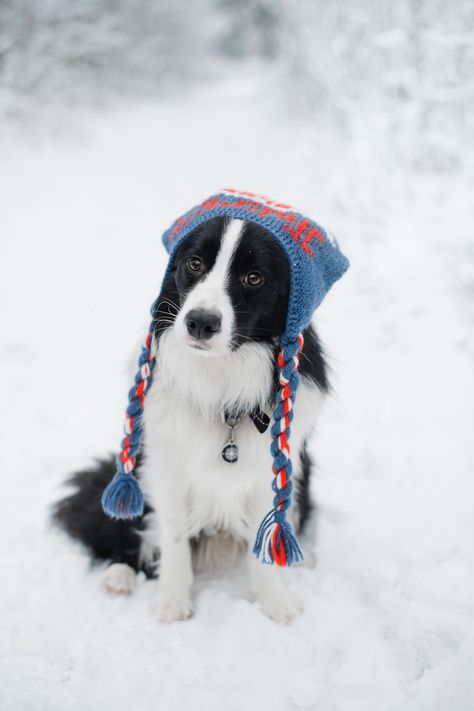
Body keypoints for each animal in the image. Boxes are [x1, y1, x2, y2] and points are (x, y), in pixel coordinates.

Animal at [53, 216, 330, 624]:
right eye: (195, 263)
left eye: (254, 277)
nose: (200, 322)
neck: (222, 378)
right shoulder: (166, 462)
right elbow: (173, 534)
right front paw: (172, 602)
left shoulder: (271, 467)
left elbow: (266, 537)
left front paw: (275, 603)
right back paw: (119, 576)